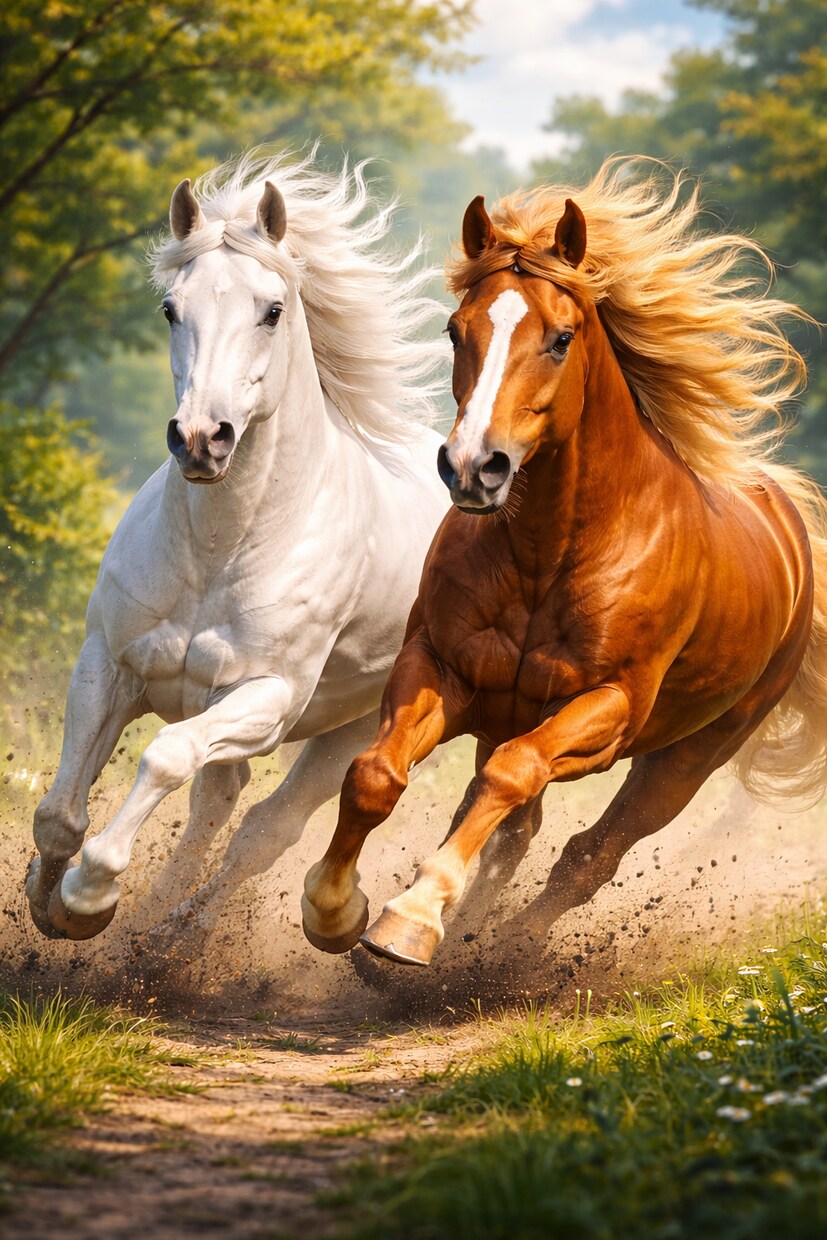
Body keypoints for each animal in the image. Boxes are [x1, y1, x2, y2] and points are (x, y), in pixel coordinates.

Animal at [25, 149, 450, 946]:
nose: (201, 438)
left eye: (272, 310)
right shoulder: (108, 664)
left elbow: (165, 756)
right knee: (219, 807)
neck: (216, 554)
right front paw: (48, 905)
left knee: (263, 830)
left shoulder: (266, 698)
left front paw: (91, 895)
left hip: (358, 725)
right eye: (170, 309)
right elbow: (59, 811)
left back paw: (178, 942)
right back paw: (152, 929)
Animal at [300, 157, 827, 968]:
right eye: (455, 330)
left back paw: (503, 951)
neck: (553, 551)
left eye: (561, 337)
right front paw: (334, 911)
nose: (472, 467)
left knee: (588, 855)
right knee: (512, 829)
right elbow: (374, 776)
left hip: (690, 755)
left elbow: (512, 775)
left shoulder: (606, 711)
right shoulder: (443, 668)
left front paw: (411, 917)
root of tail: (789, 526)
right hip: (510, 716)